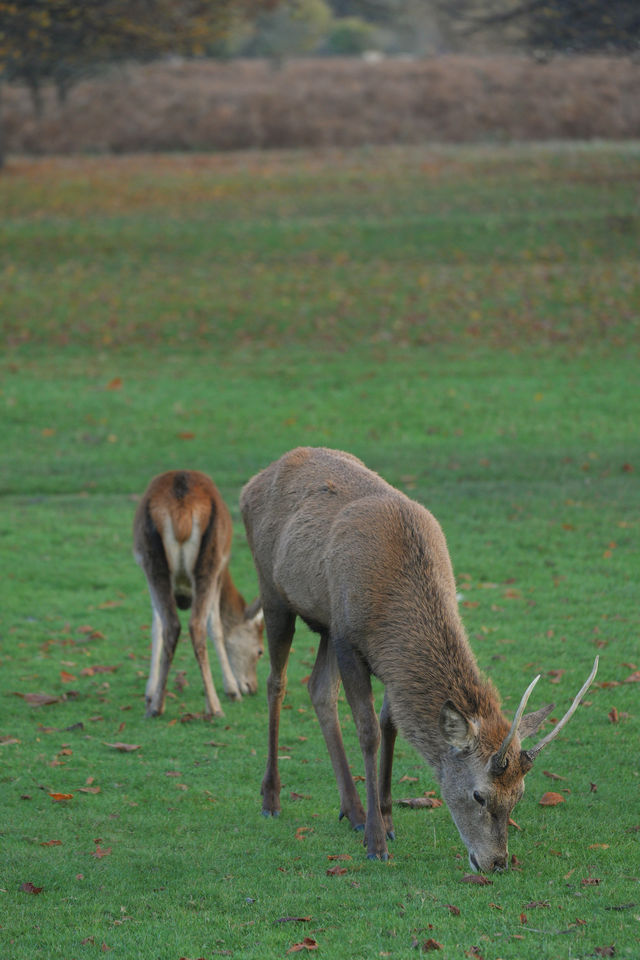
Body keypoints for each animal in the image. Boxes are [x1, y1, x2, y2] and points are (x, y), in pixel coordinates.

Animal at [134, 468, 264, 716]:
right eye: (261, 650)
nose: (252, 687)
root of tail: (182, 506)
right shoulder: (220, 570)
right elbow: (217, 627)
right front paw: (232, 690)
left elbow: (156, 626)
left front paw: (149, 693)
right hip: (210, 560)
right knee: (196, 625)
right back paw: (215, 706)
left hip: (151, 560)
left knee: (172, 625)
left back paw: (157, 706)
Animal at [241, 448, 600, 872]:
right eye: (479, 795)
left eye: (520, 794)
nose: (497, 862)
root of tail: (254, 481)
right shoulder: (349, 639)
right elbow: (369, 731)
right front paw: (376, 842)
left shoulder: (380, 658)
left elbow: (390, 722)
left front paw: (385, 817)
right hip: (273, 591)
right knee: (276, 683)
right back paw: (272, 798)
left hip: (325, 620)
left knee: (318, 690)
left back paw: (353, 809)